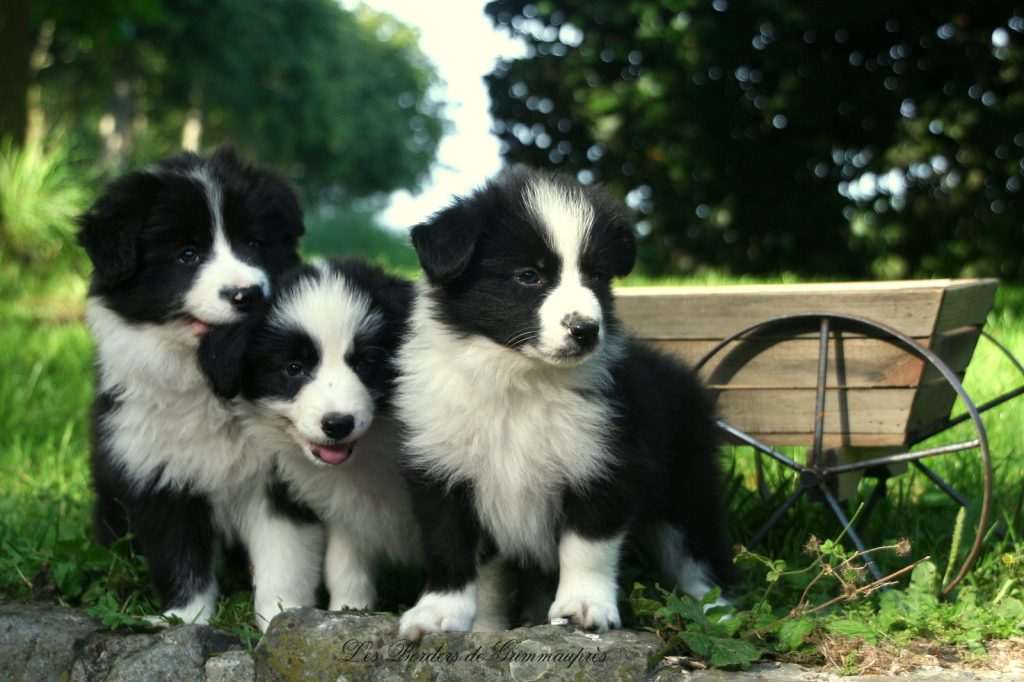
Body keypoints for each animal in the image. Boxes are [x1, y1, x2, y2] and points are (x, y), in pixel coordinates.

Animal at [78, 147, 317, 626]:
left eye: (254, 243)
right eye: (187, 254)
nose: (247, 294)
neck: (209, 383)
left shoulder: (283, 479)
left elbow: (285, 558)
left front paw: (280, 618)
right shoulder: (158, 473)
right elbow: (179, 557)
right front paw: (184, 620)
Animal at [197, 259, 421, 610]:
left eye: (367, 363)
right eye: (293, 368)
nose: (338, 424)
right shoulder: (347, 509)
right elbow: (344, 566)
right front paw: (348, 611)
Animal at [393, 165, 737, 638]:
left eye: (595, 276)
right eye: (529, 275)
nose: (586, 330)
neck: (519, 380)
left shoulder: (604, 461)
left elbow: (587, 546)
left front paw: (583, 606)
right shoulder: (440, 467)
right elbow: (449, 545)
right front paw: (439, 614)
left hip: (687, 483)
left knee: (699, 549)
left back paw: (718, 613)